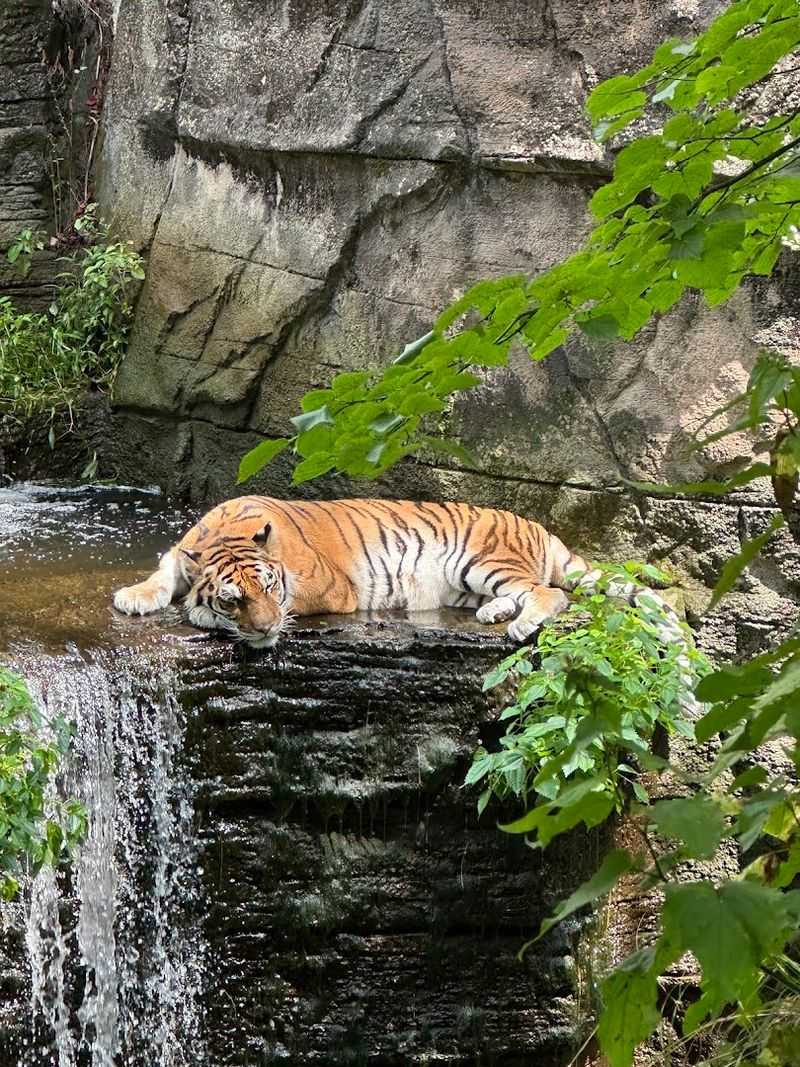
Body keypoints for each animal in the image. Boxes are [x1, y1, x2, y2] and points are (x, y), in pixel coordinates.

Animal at [112, 496, 693, 674]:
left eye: (270, 590)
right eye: (235, 601)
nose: (266, 630)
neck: (228, 532)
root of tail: (539, 527)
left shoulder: (329, 587)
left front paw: (194, 611)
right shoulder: (182, 551)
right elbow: (163, 570)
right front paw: (134, 597)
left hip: (483, 559)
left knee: (551, 593)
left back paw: (518, 623)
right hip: (465, 581)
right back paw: (494, 614)